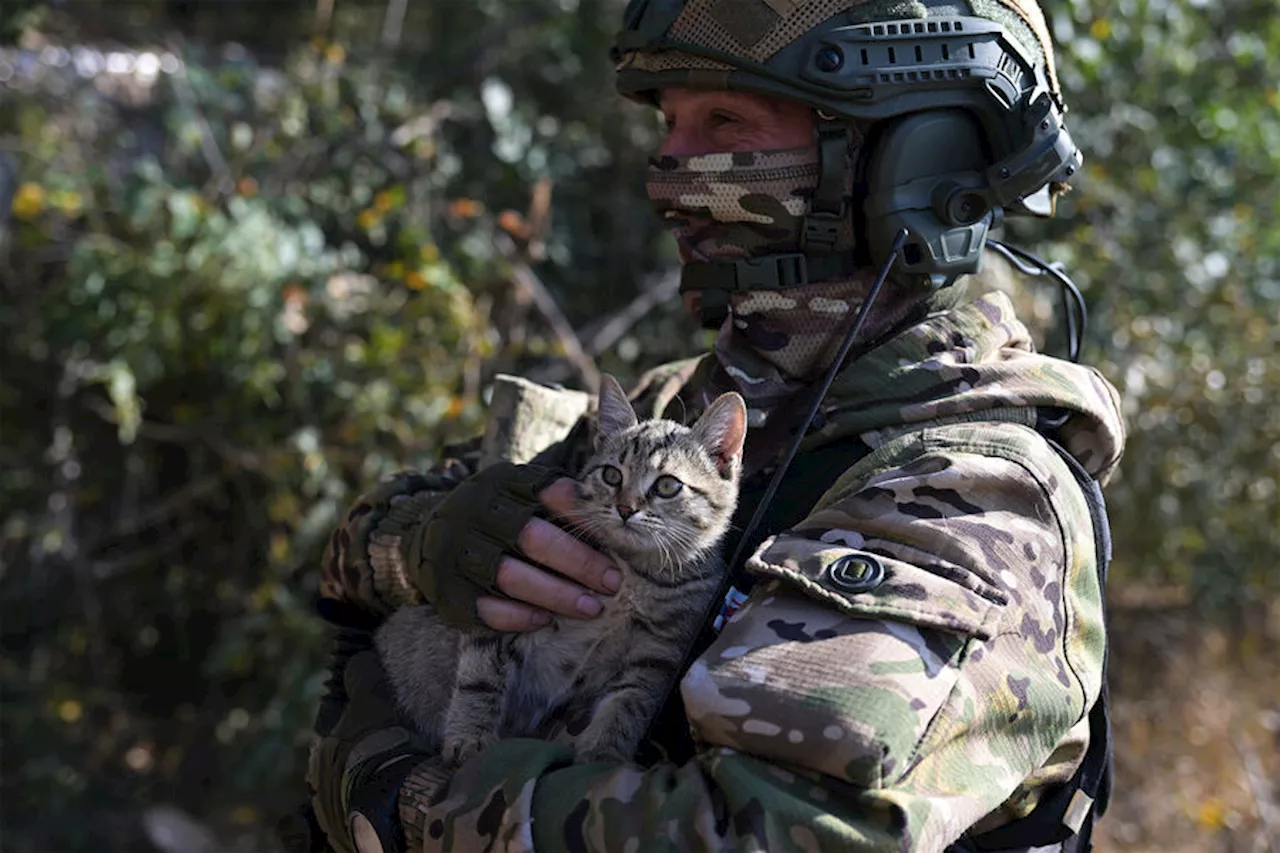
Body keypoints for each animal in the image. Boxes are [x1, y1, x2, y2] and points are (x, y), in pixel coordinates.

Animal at [373, 376, 747, 758]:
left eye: (668, 485)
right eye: (612, 475)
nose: (625, 509)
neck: (633, 573)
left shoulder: (658, 653)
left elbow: (629, 703)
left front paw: (601, 753)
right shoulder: (503, 609)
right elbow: (481, 677)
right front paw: (470, 736)